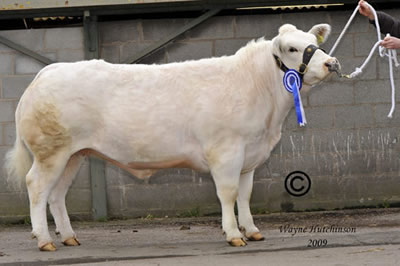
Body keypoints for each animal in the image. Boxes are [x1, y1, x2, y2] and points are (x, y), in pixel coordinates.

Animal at [4, 23, 340, 251]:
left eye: (315, 42)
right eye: (292, 49)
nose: (330, 63)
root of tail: (48, 71)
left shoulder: (250, 155)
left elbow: (245, 195)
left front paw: (252, 230)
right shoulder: (226, 151)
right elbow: (228, 193)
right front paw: (233, 235)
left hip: (74, 155)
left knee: (57, 194)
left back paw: (69, 237)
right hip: (51, 152)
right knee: (37, 187)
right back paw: (44, 240)